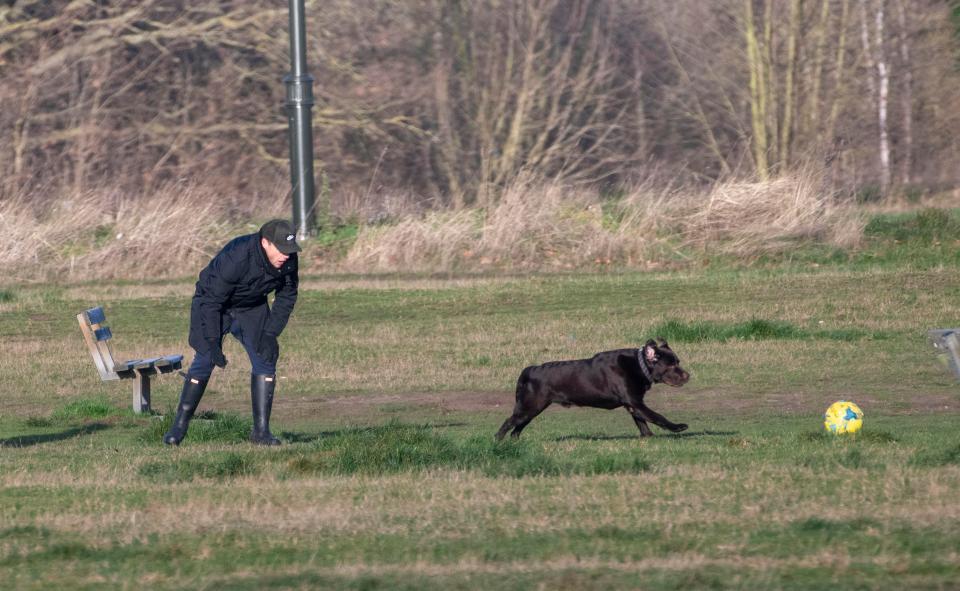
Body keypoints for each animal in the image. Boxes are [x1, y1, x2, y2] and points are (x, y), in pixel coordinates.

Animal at [496, 340, 688, 442]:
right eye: (671, 365)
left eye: (677, 361)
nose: (688, 375)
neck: (639, 365)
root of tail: (529, 370)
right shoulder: (635, 402)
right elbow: (657, 416)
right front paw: (678, 427)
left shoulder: (633, 404)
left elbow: (642, 421)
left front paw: (648, 436)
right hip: (530, 407)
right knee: (508, 423)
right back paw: (498, 442)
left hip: (530, 410)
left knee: (516, 428)